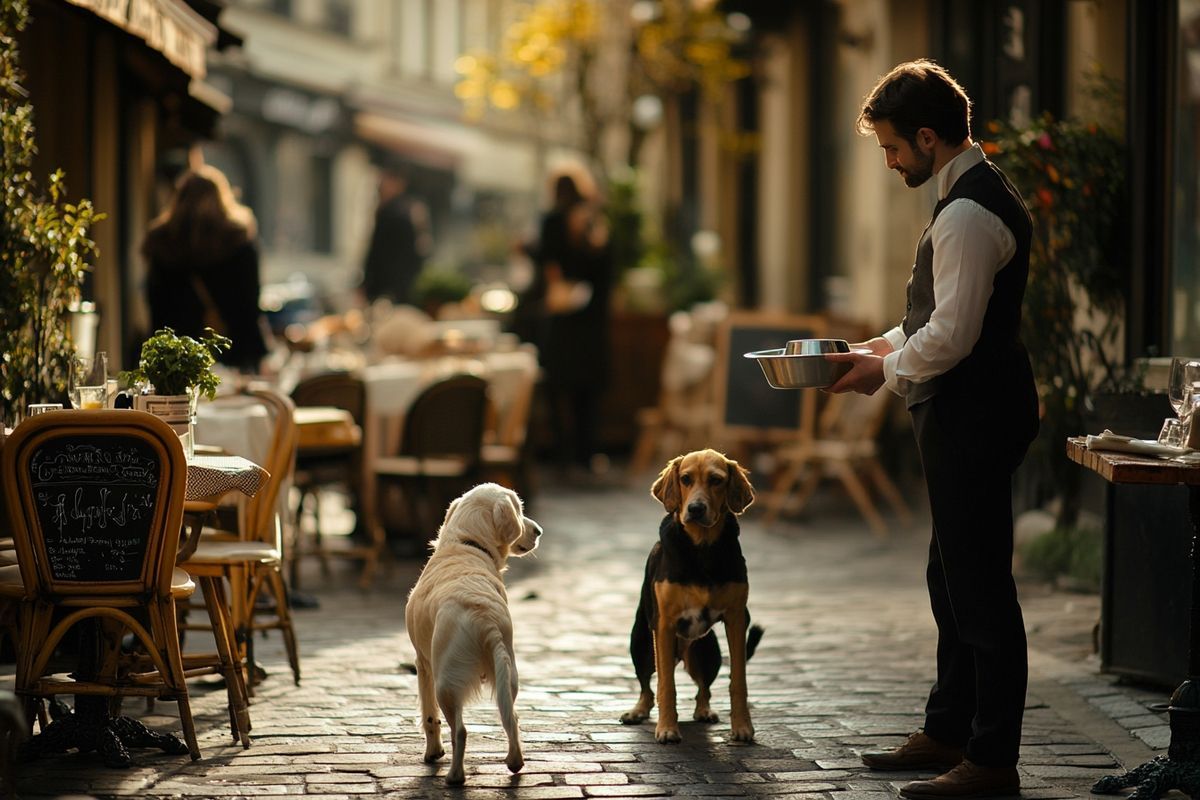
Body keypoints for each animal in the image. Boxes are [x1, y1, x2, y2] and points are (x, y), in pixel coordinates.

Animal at [405, 484, 542, 786]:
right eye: (520, 510)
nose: (538, 531)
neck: (468, 542)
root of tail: (484, 616)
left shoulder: (422, 662)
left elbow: (429, 717)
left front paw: (433, 753)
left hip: (445, 682)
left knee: (460, 730)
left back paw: (455, 777)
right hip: (508, 672)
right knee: (512, 718)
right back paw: (514, 761)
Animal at [624, 450, 763, 743]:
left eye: (716, 480)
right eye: (685, 479)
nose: (696, 509)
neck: (702, 547)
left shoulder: (737, 620)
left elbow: (738, 681)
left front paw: (742, 727)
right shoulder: (664, 625)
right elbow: (666, 685)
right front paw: (667, 728)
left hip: (708, 652)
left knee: (704, 689)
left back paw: (704, 711)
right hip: (640, 643)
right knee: (646, 686)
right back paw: (637, 711)